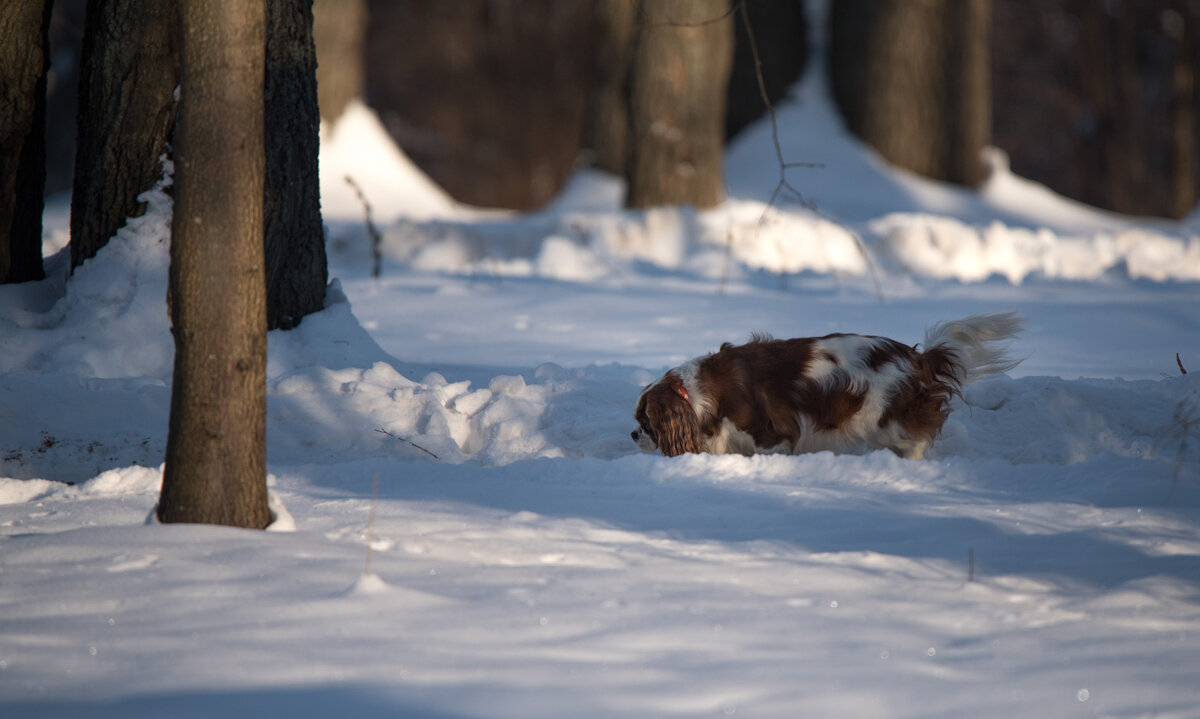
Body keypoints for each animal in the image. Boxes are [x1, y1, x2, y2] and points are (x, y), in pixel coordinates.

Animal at [628, 314, 1022, 460]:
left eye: (645, 422)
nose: (633, 435)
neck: (698, 395)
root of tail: (918, 358)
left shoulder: (772, 435)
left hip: (882, 422)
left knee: (916, 440)